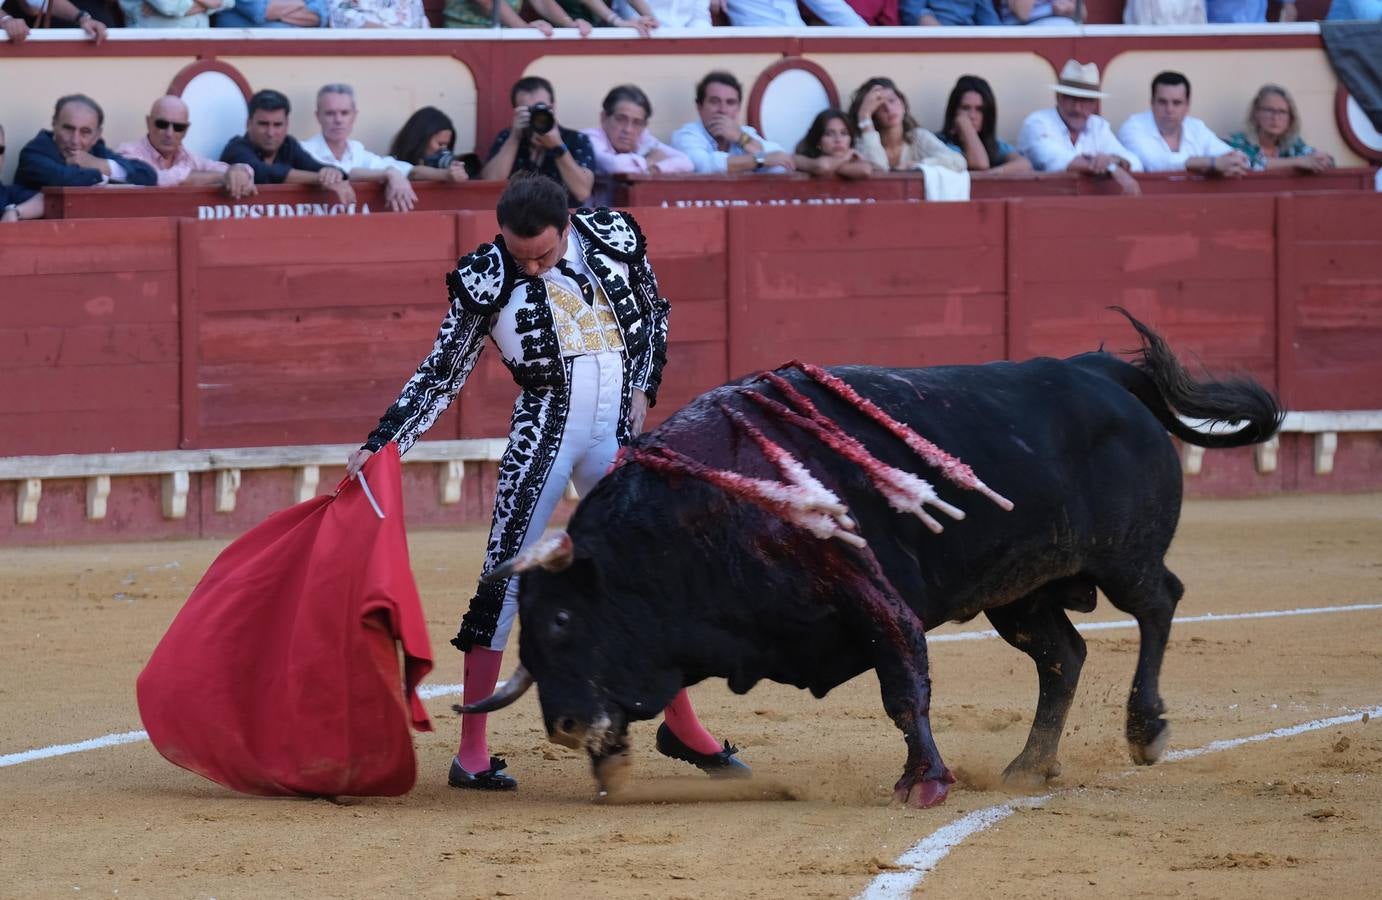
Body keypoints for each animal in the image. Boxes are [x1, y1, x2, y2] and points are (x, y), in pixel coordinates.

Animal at [461, 311, 1282, 807]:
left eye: (562, 620)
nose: (564, 725)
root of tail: (1100, 372)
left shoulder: (868, 594)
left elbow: (904, 688)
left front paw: (924, 785)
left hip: (1121, 558)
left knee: (1158, 604)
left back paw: (1147, 731)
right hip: (1019, 592)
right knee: (1063, 655)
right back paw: (1028, 765)